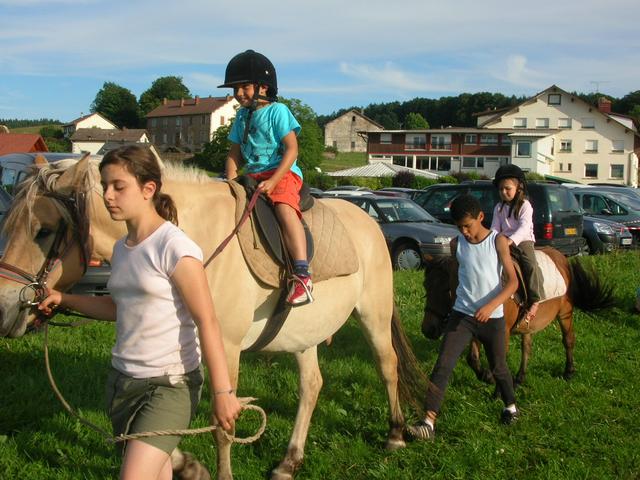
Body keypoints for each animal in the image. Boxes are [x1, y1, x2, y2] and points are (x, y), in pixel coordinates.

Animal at [422, 248, 612, 386]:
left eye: (447, 290)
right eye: (426, 286)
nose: (427, 329)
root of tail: (562, 257)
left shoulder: (502, 331)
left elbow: (498, 359)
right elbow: (473, 358)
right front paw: (487, 376)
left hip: (565, 312)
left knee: (568, 339)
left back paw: (569, 371)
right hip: (530, 323)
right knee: (527, 347)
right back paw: (520, 378)